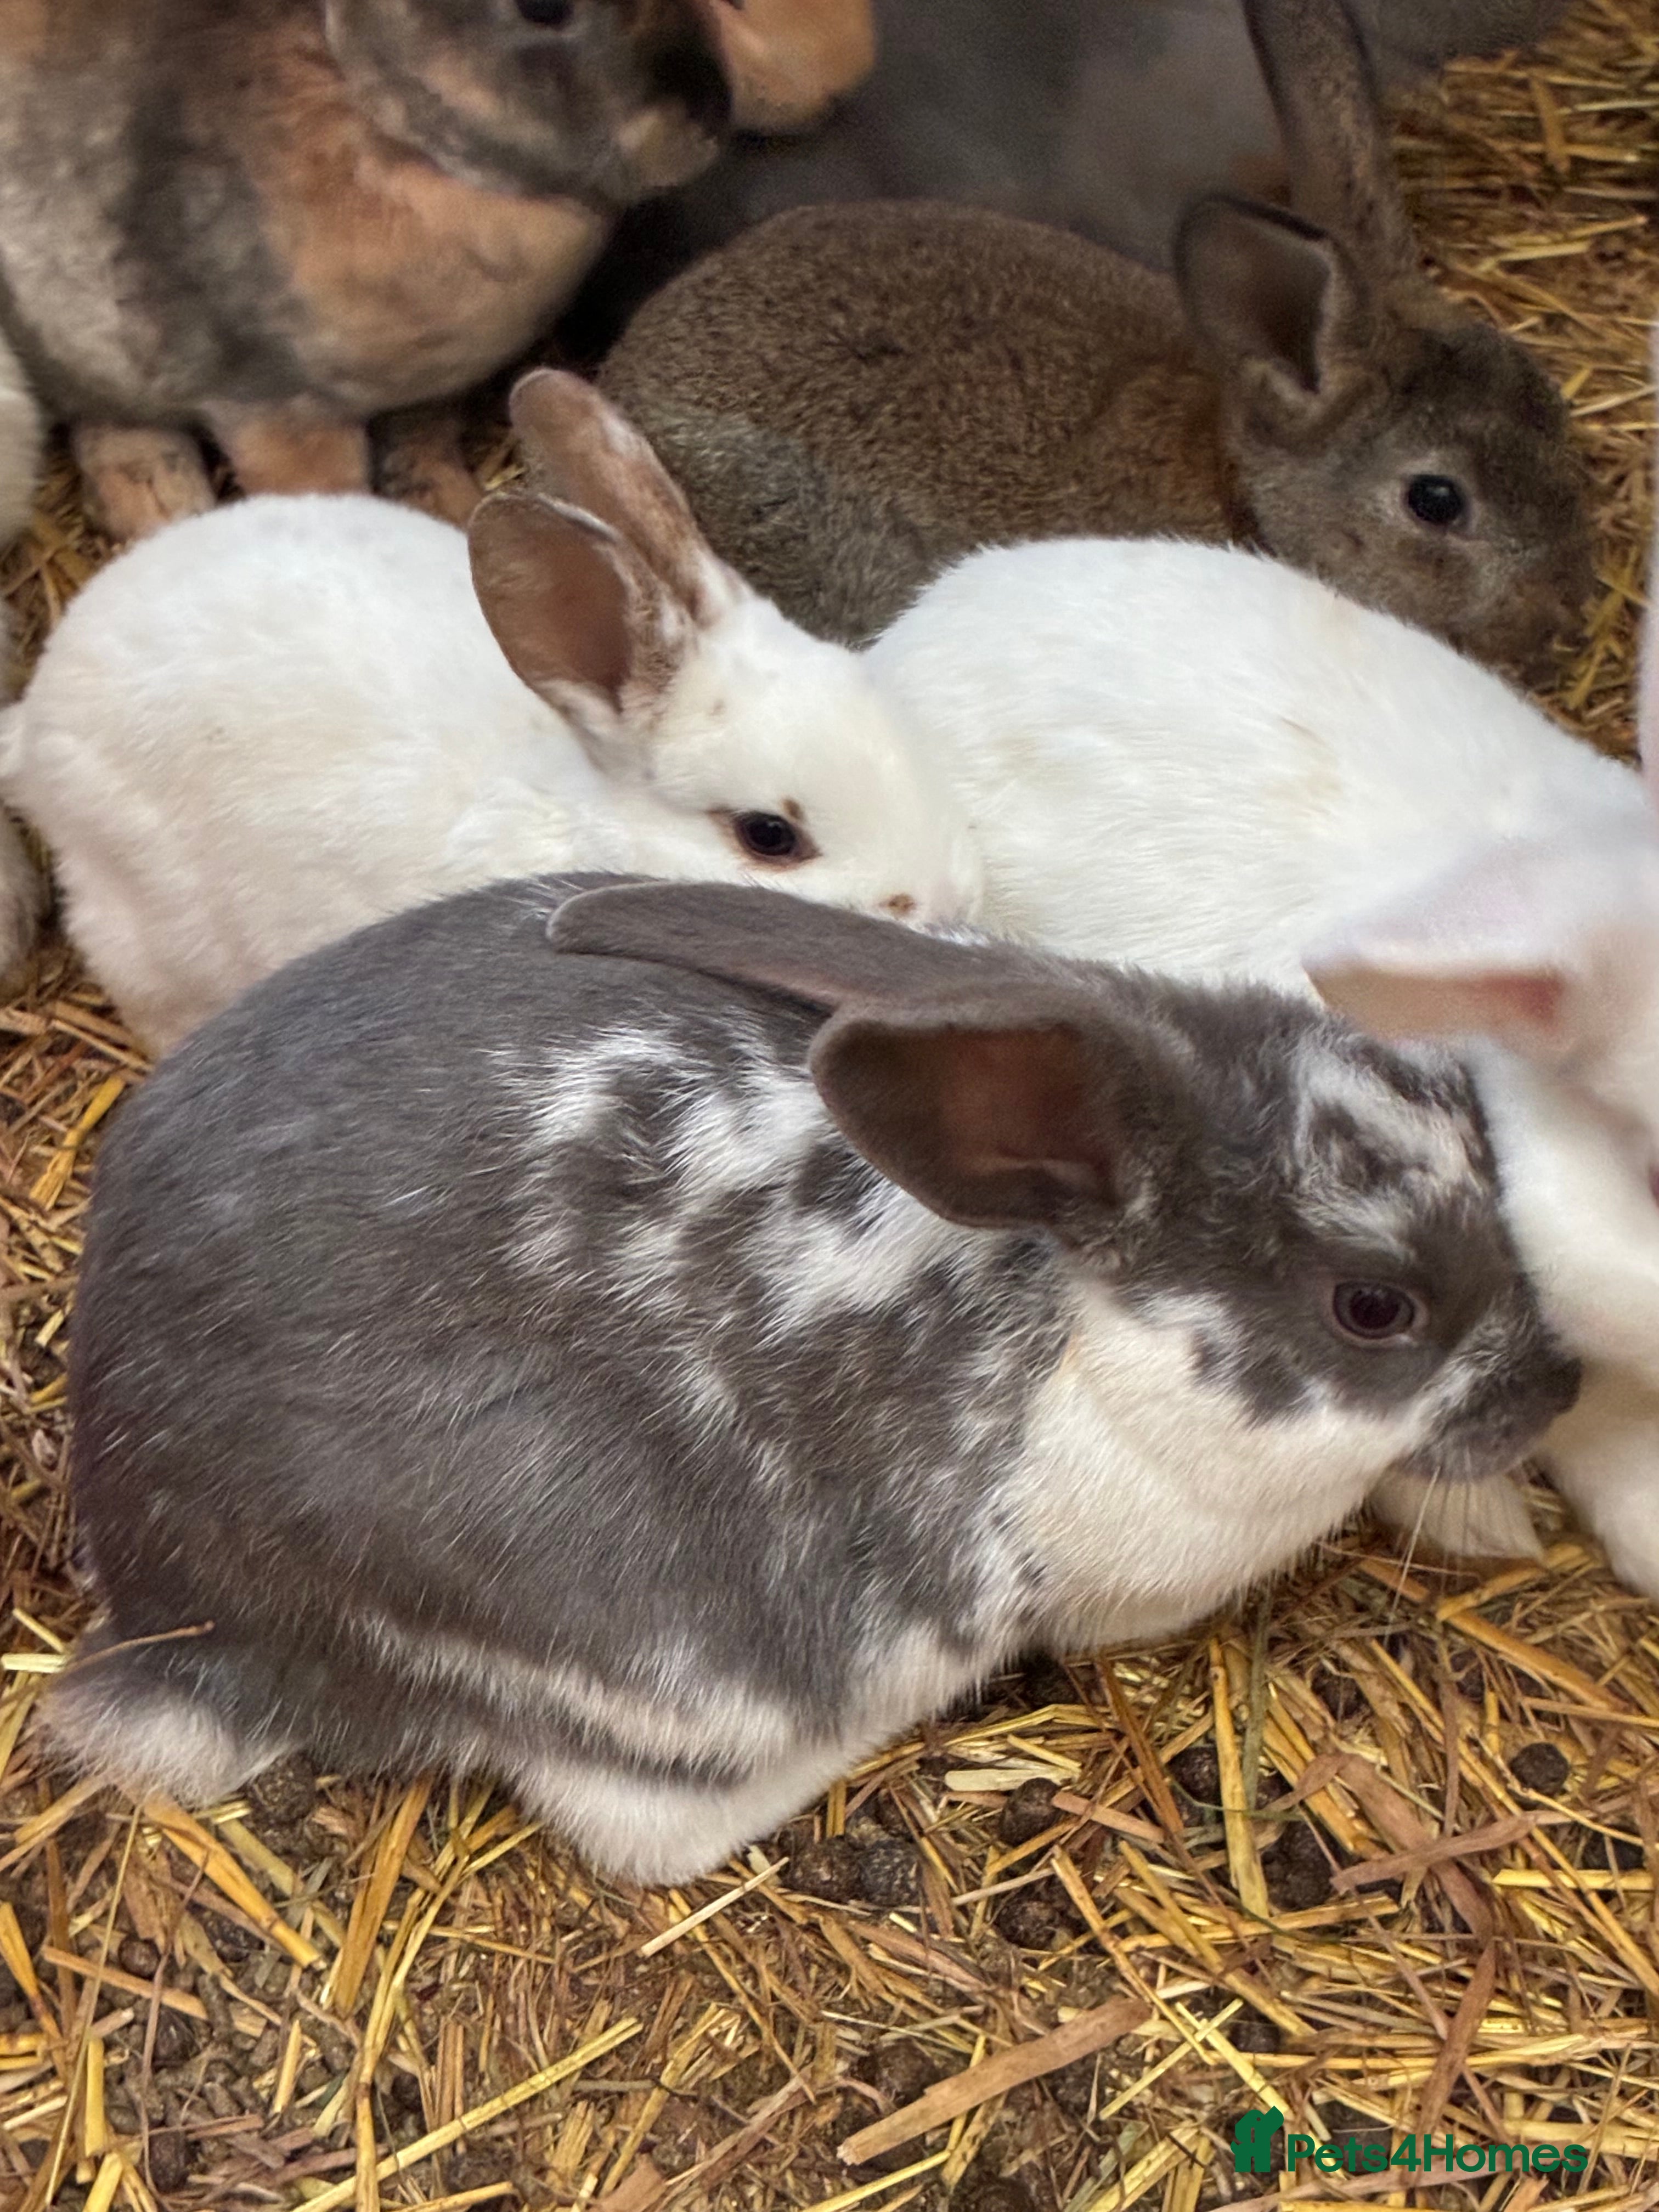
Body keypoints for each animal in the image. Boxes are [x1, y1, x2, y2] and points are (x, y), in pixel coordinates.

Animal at [0, 0, 874, 544]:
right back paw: (163, 503)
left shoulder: (428, 391)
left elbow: (419, 449)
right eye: (543, 5)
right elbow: (324, 486)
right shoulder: (274, 408)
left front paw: (454, 510)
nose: (708, 113)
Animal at [46, 875, 1578, 1880]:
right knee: (640, 1832)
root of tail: (172, 1613)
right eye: (1373, 1307)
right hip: (659, 1658)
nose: (1555, 1389)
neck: (1079, 1319)